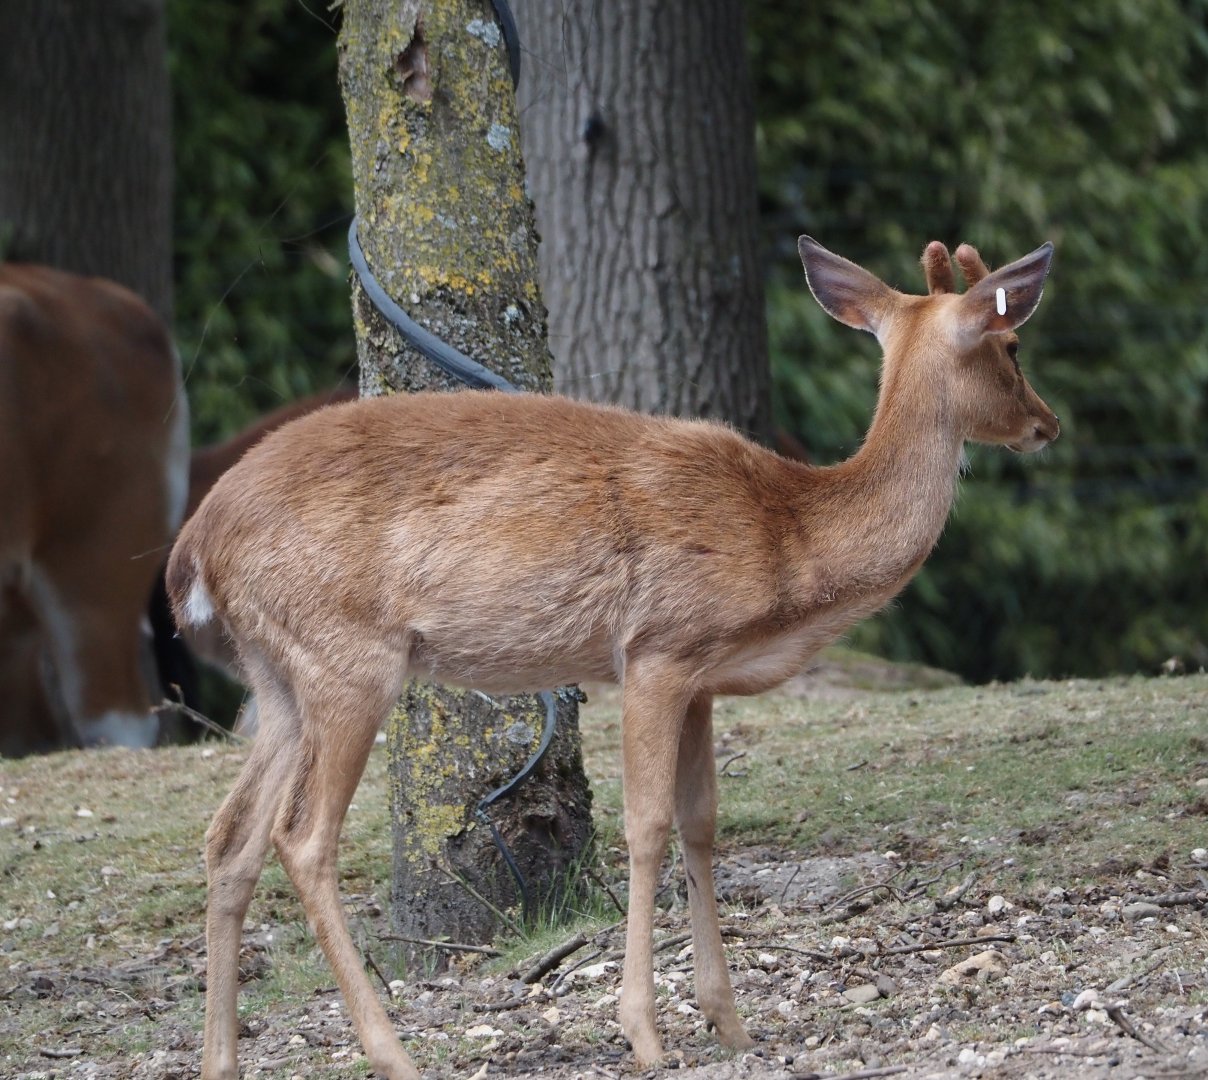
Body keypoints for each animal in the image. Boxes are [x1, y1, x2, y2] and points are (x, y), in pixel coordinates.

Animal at [167, 235, 1059, 1080]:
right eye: (1012, 345)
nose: (1048, 424)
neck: (791, 543)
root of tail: (193, 546)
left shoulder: (702, 679)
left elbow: (702, 824)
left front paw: (730, 1024)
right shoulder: (659, 646)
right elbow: (648, 825)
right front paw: (645, 1033)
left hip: (278, 677)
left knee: (227, 837)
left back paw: (221, 1060)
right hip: (348, 658)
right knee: (302, 838)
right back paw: (393, 1054)